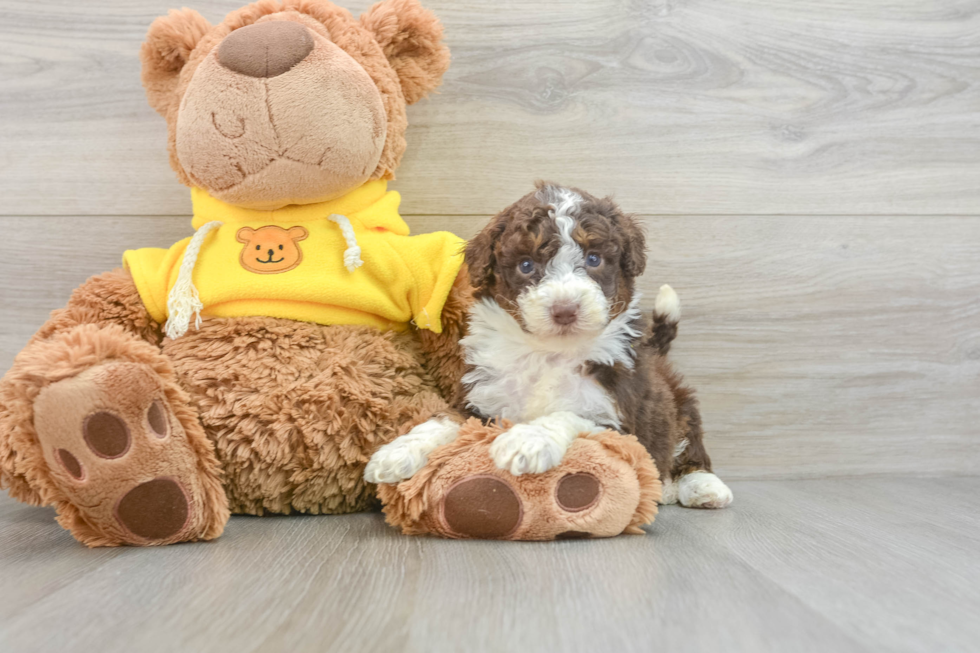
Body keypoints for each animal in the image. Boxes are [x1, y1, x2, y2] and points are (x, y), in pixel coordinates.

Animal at [368, 183, 736, 510]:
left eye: (593, 259)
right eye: (526, 265)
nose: (565, 310)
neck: (547, 352)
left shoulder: (616, 417)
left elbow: (568, 413)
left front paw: (526, 441)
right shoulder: (479, 398)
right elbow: (445, 419)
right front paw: (398, 452)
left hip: (679, 405)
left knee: (689, 445)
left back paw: (702, 486)